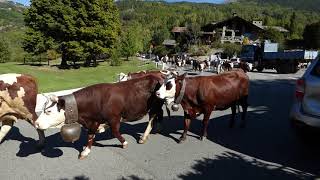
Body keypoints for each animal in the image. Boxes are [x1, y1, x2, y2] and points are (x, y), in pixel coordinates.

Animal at [34, 74, 165, 159]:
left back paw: (144, 136)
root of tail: (156, 75)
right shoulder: (93, 121)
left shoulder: (114, 118)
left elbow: (115, 132)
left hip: (154, 106)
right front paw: (86, 151)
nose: (36, 123)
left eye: (48, 111)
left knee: (152, 118)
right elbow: (90, 136)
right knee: (160, 114)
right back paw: (158, 128)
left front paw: (124, 143)